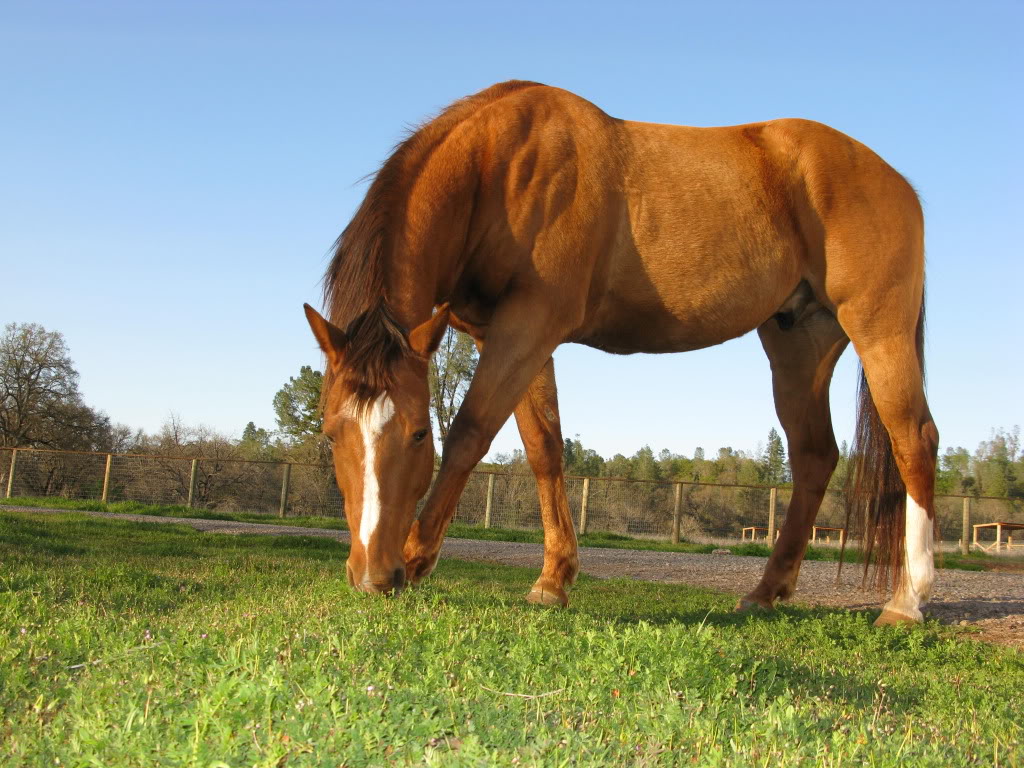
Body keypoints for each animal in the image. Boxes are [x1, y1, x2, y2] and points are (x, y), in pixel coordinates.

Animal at [301, 81, 937, 626]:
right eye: (332, 433)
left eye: (417, 434)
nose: (373, 575)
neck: (500, 168)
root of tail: (898, 181)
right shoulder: (504, 333)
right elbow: (544, 448)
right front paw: (553, 580)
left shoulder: (530, 324)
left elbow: (471, 432)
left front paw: (418, 556)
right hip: (798, 343)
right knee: (814, 457)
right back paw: (765, 592)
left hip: (879, 330)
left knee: (914, 439)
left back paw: (907, 601)